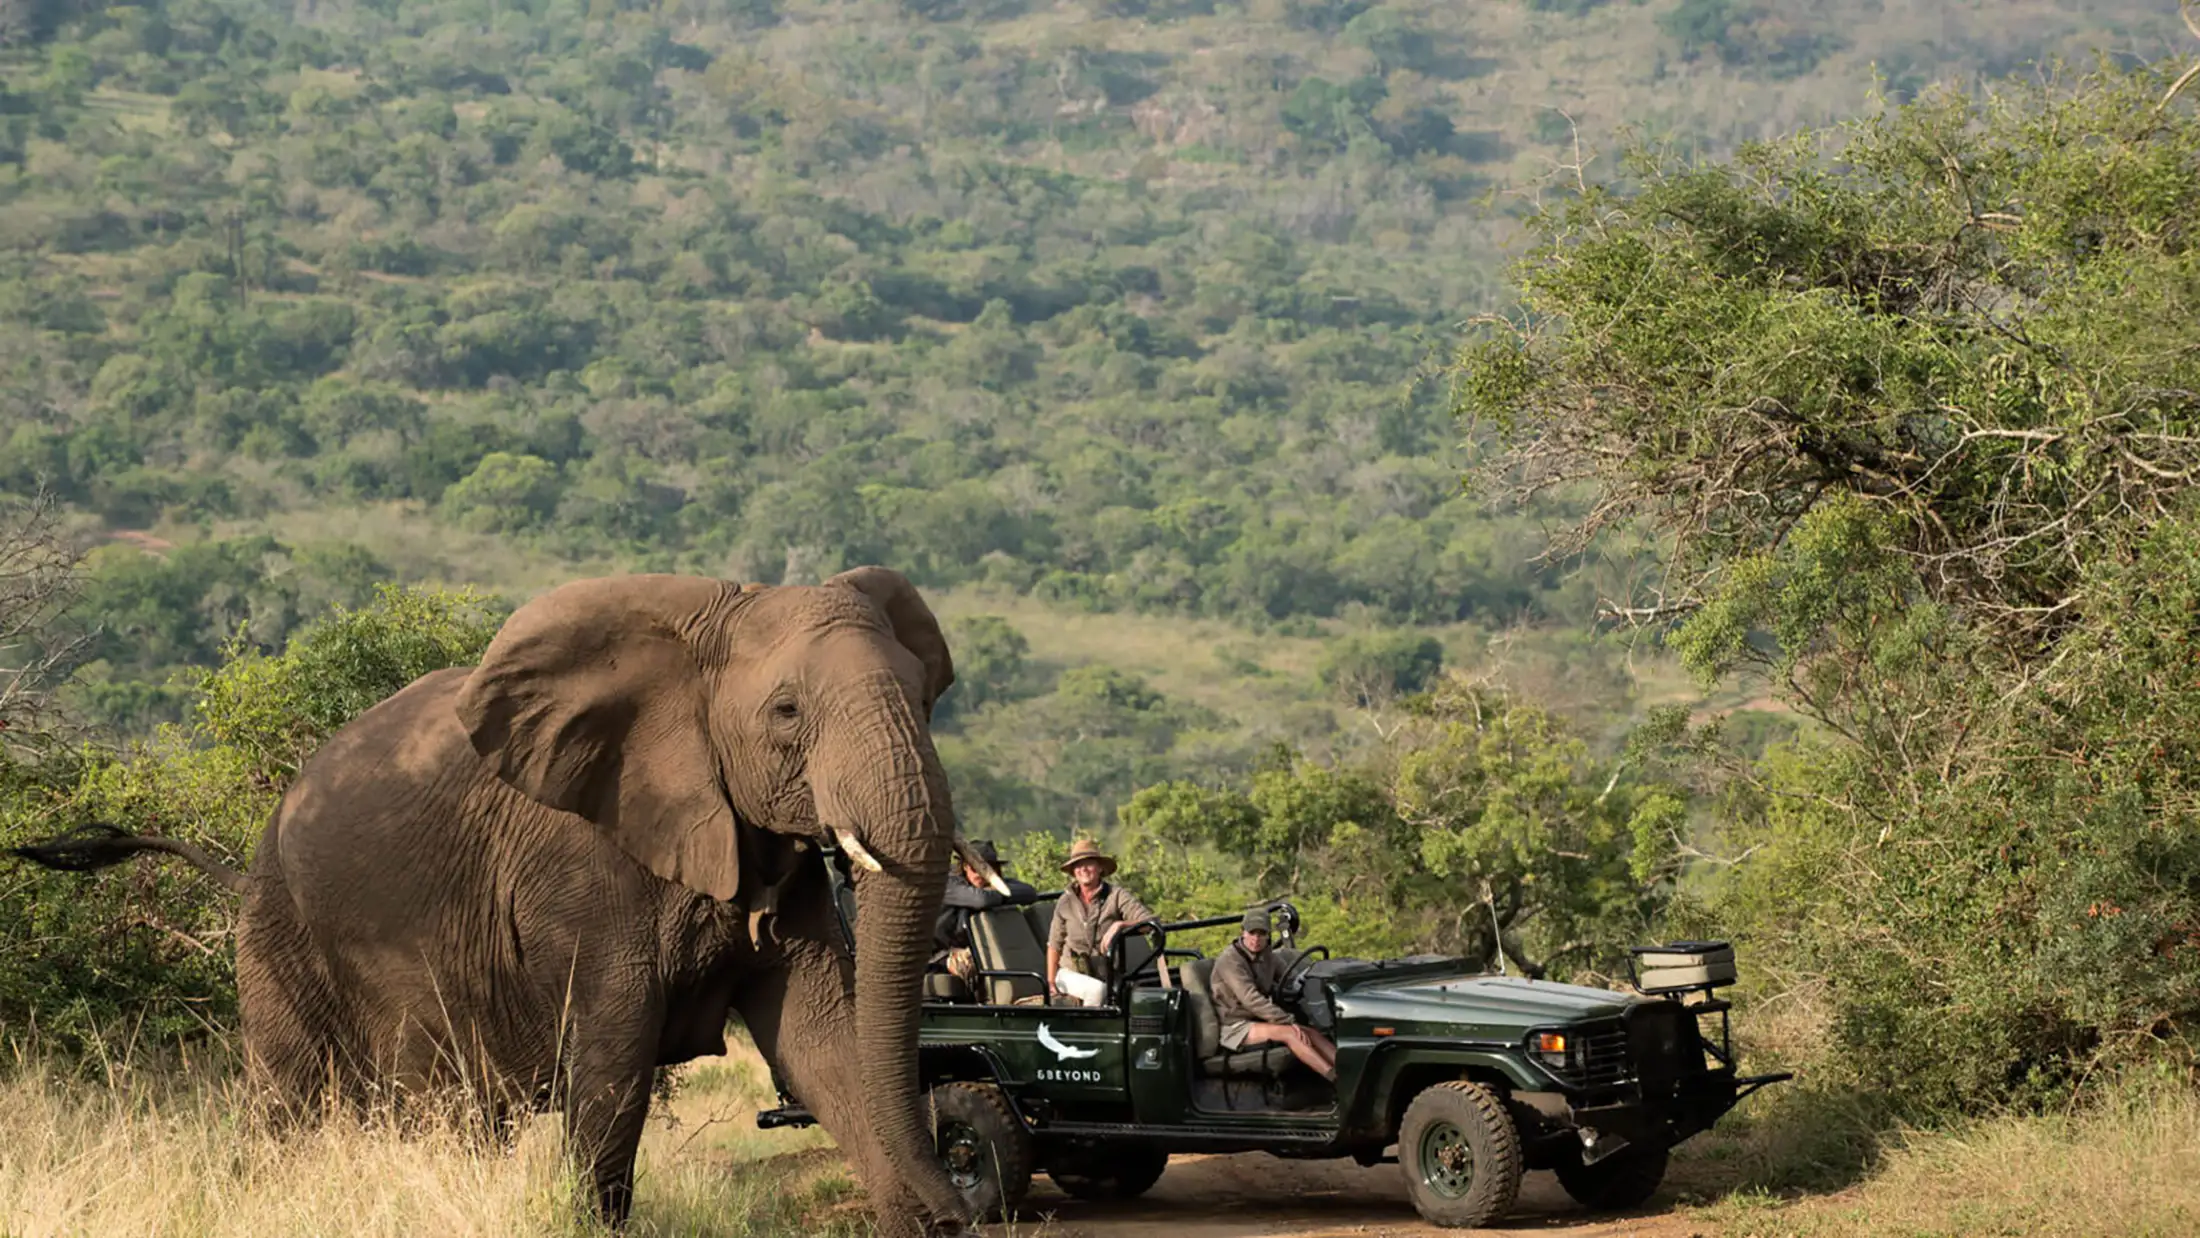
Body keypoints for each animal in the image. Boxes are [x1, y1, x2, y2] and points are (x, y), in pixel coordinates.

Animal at [11, 567, 999, 1234]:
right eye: (787, 713)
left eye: (926, 697)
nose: (962, 1208)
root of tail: (244, 859)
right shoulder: (583, 870)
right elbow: (614, 1069)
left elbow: (823, 1039)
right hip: (279, 936)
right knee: (296, 1103)